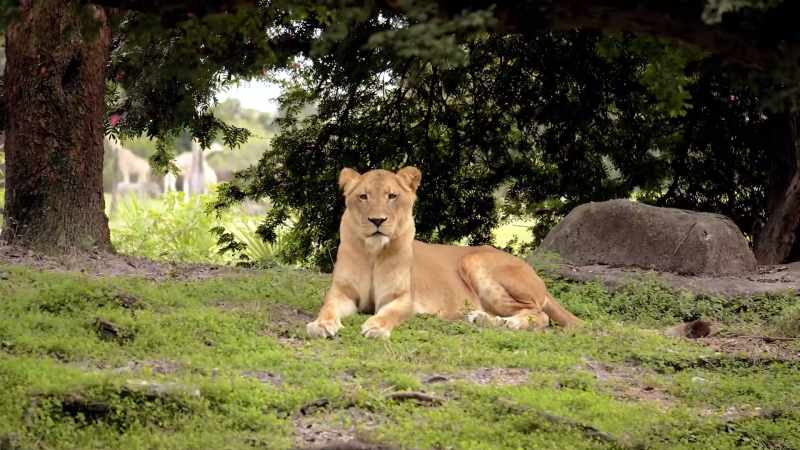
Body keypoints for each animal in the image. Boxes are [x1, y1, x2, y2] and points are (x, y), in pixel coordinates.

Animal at [306, 167, 581, 339]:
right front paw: (320, 325)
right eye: (363, 196)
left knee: (539, 314)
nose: (377, 220)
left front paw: (376, 327)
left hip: (475, 261)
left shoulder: (403, 298)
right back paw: (482, 319)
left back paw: (510, 322)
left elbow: (389, 313)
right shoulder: (341, 293)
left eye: (392, 196)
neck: (374, 253)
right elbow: (327, 308)